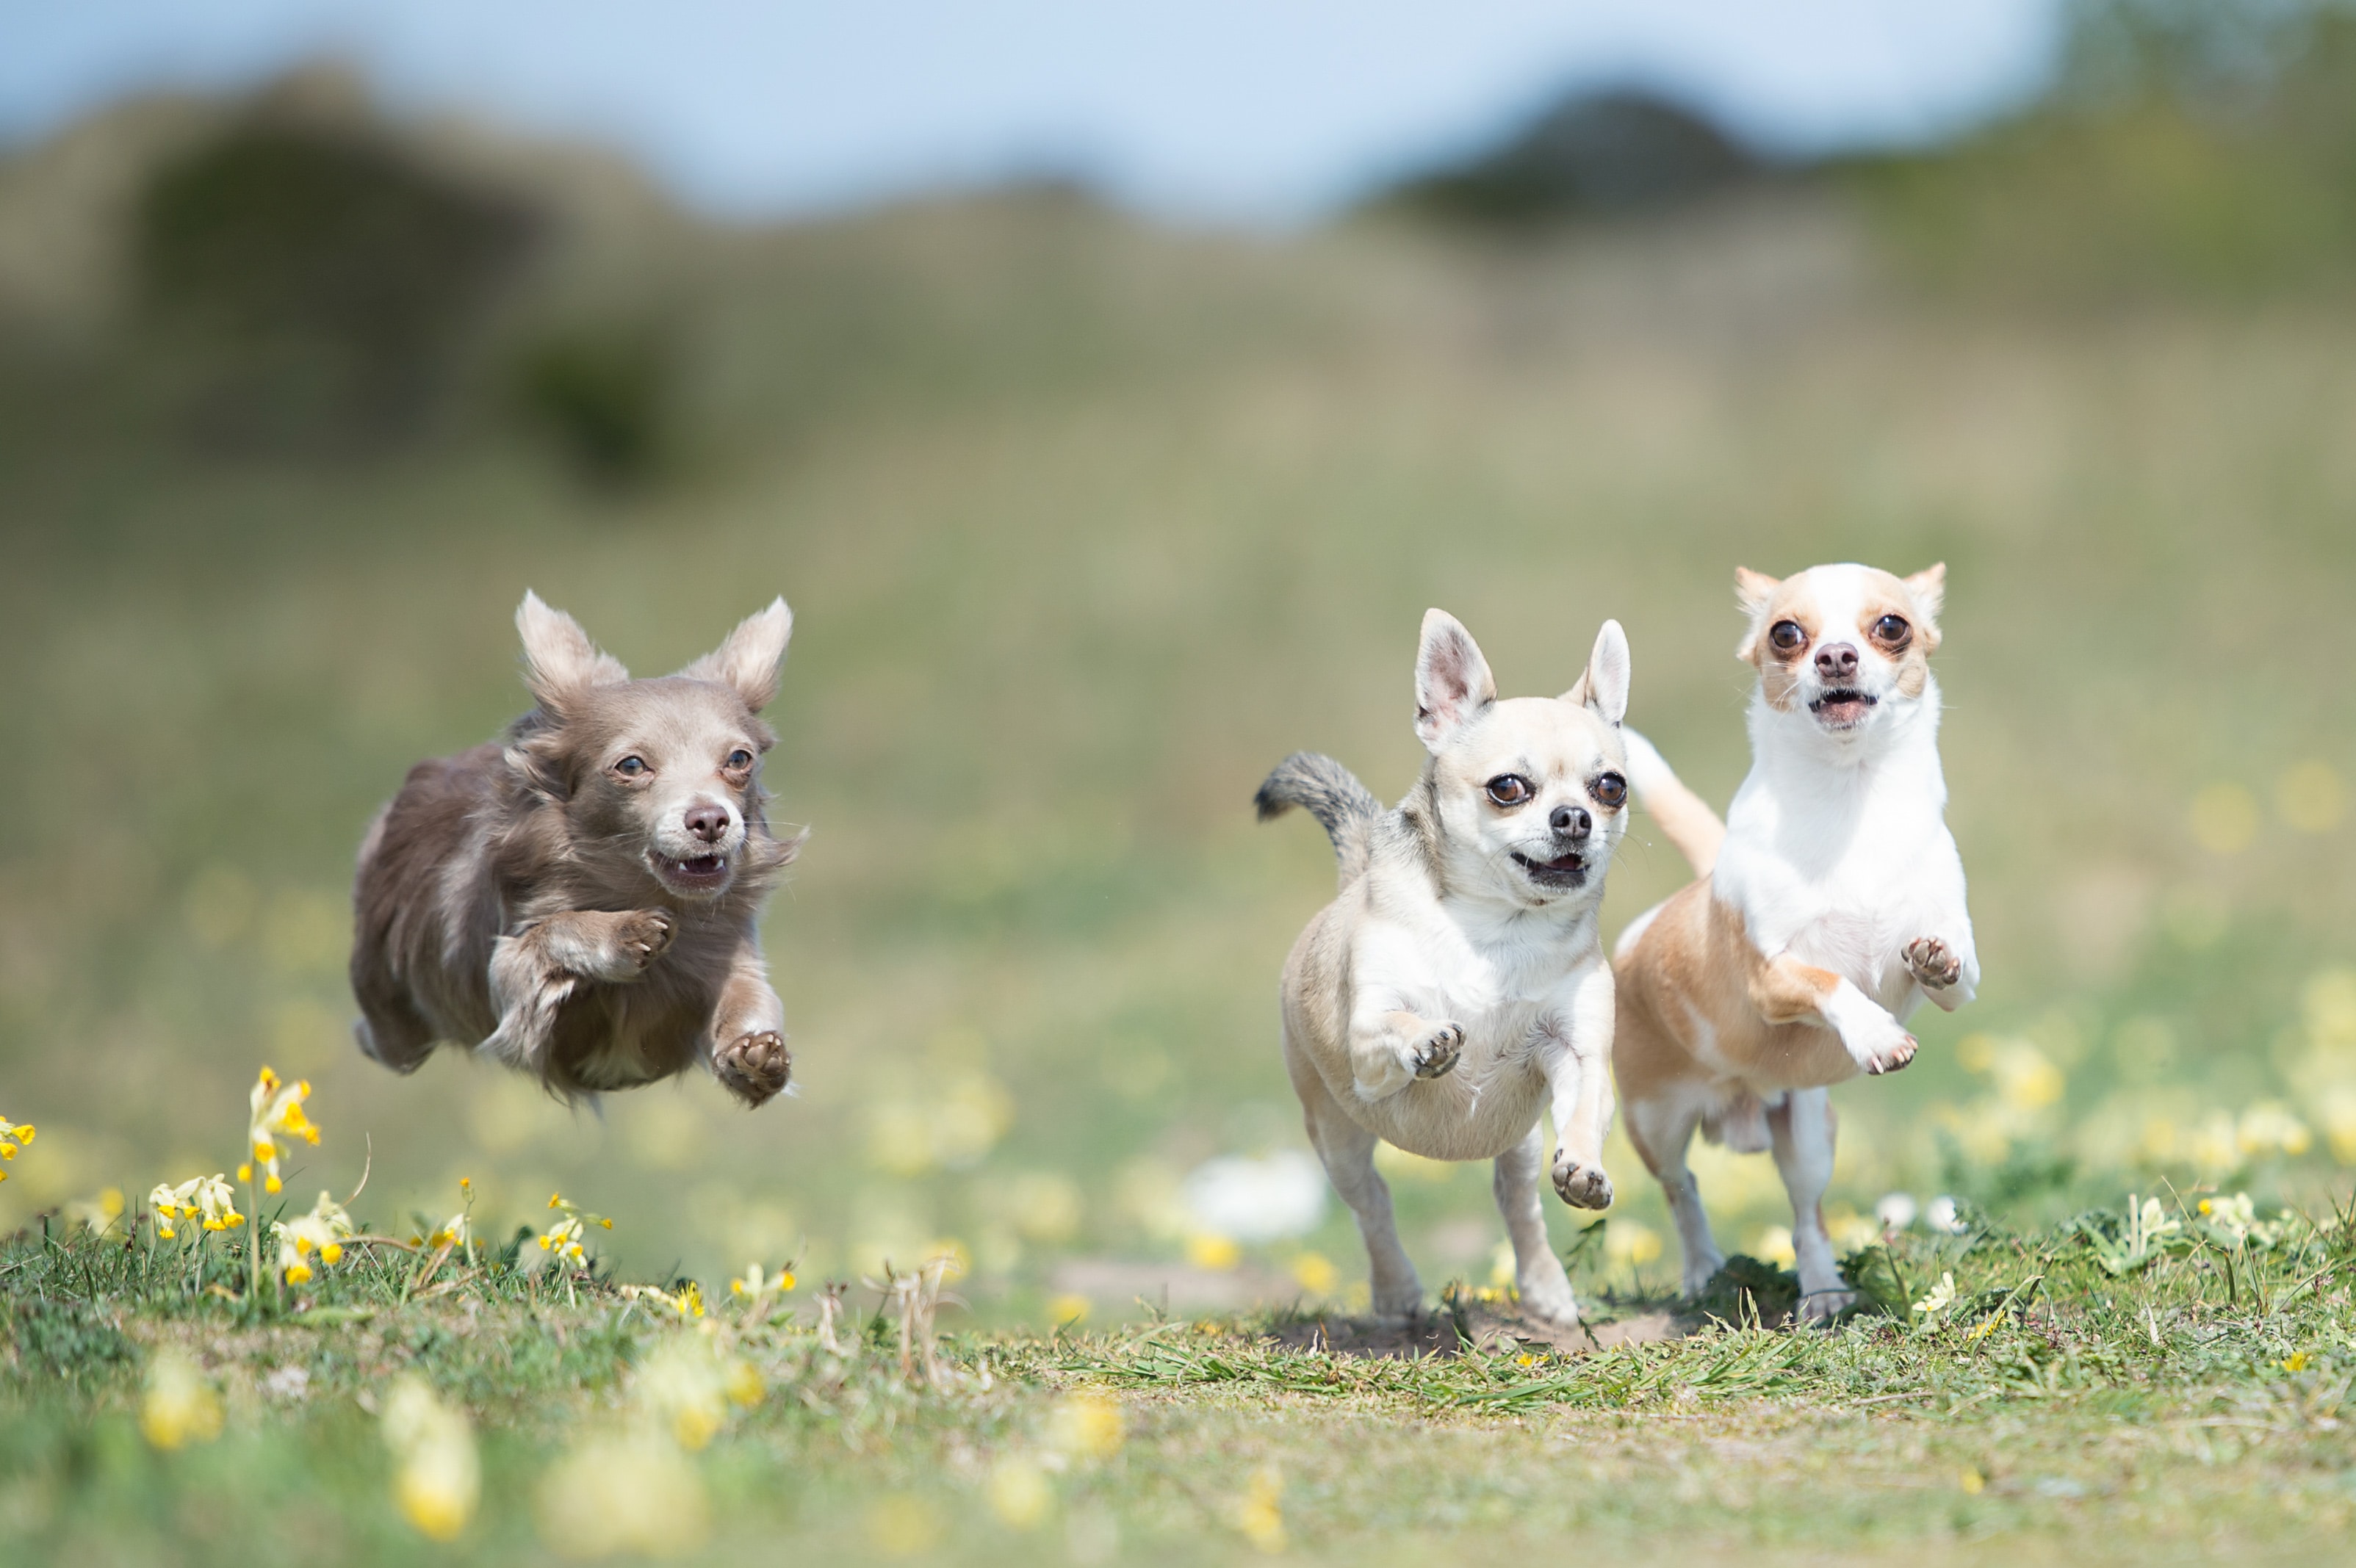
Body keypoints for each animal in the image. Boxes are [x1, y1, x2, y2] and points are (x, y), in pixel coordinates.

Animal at [348, 593, 805, 1106]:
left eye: (739, 760)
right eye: (632, 766)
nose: (710, 819)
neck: (638, 889)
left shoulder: (729, 964)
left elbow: (747, 1002)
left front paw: (755, 1055)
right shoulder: (510, 979)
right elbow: (555, 931)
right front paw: (621, 933)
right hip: (394, 1021)